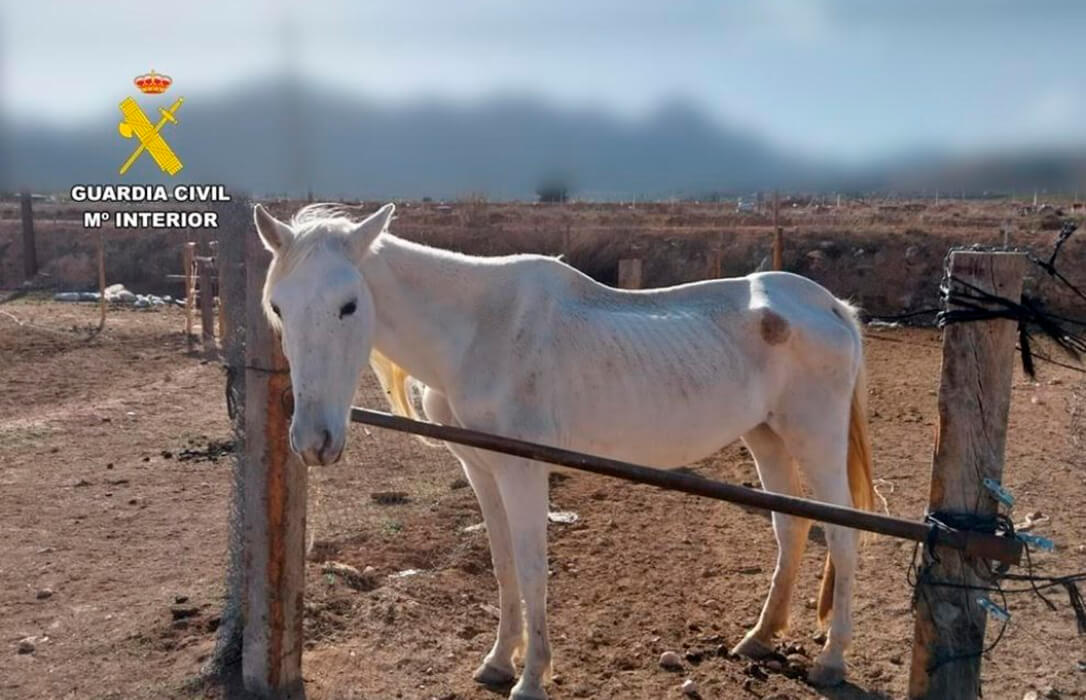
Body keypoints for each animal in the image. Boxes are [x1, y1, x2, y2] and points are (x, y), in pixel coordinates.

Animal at [254, 199, 873, 694]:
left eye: (349, 305)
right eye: (278, 307)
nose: (313, 442)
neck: (480, 332)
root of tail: (830, 306)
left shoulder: (524, 472)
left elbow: (532, 571)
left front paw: (530, 679)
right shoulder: (482, 470)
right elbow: (503, 565)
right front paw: (498, 662)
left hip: (815, 441)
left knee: (841, 535)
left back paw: (832, 661)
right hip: (766, 437)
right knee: (791, 527)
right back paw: (760, 637)